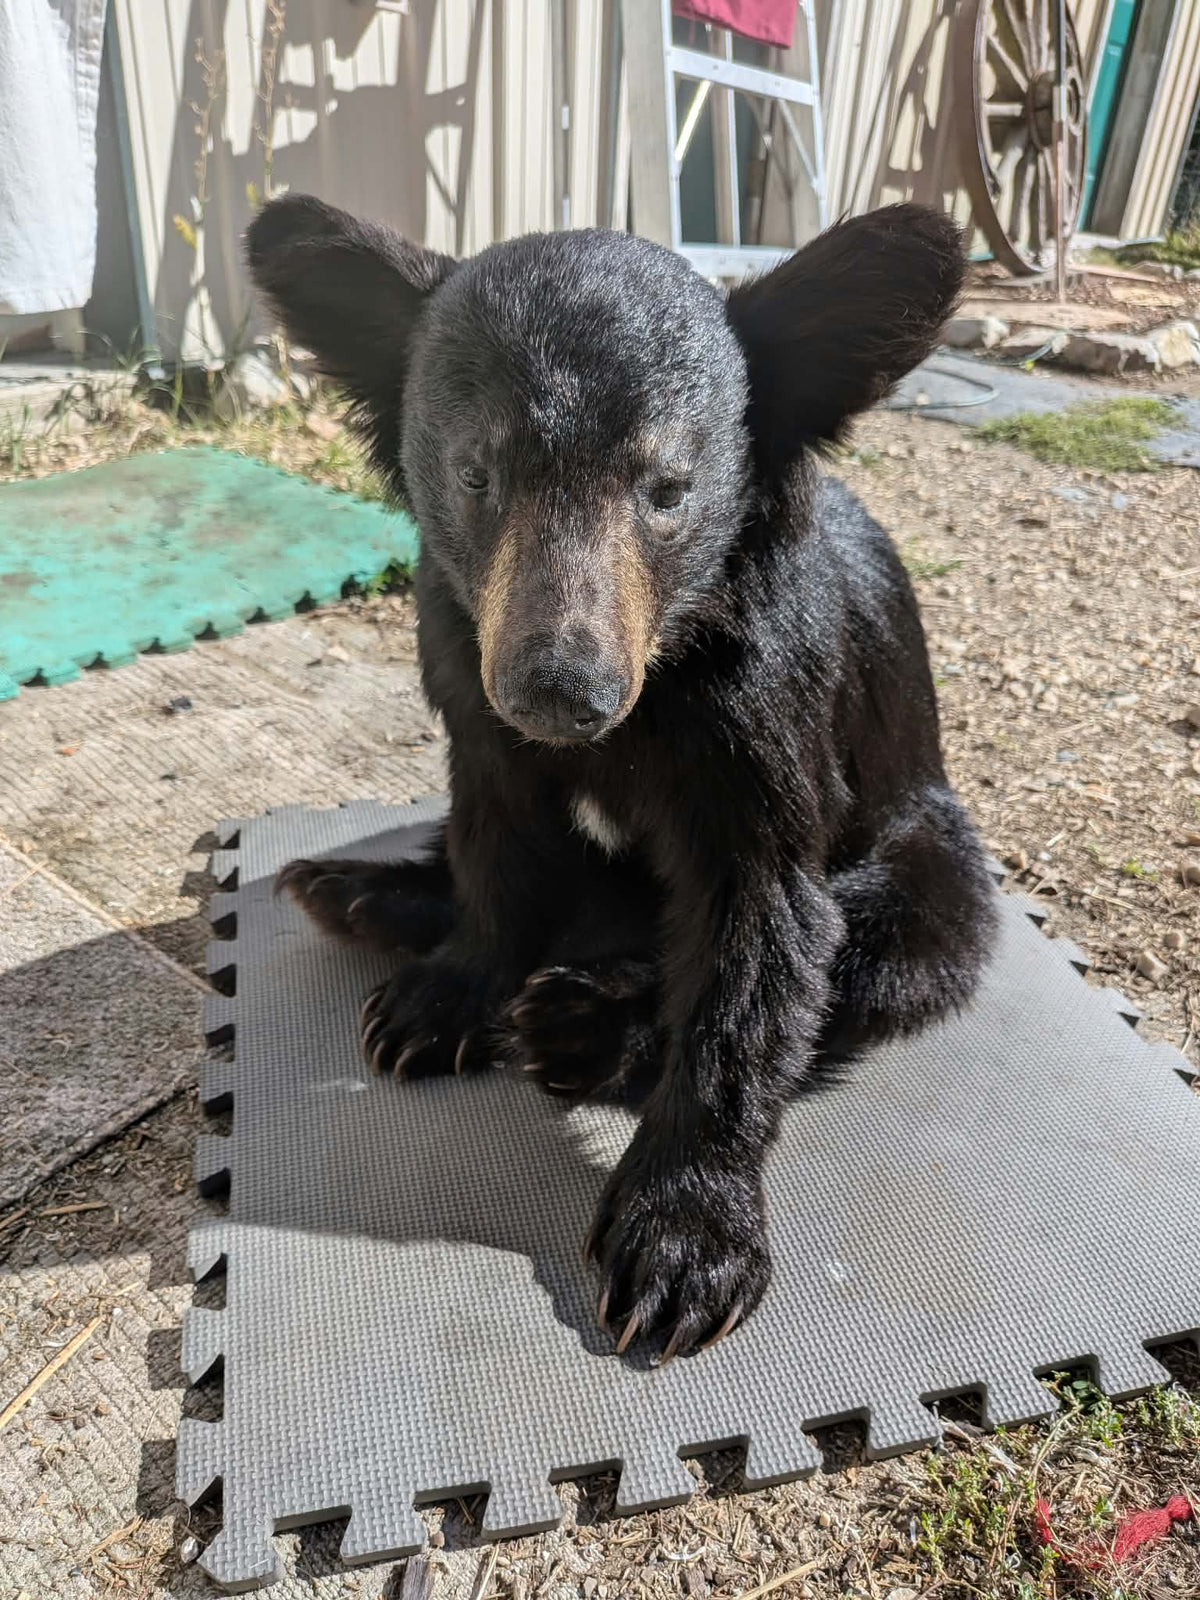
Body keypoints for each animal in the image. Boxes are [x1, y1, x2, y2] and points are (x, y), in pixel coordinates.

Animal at [246, 195, 997, 1361]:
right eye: (477, 475)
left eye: (669, 490)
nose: (562, 691)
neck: (663, 671)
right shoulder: (468, 671)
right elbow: (496, 833)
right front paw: (447, 990)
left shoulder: (763, 713)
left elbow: (760, 933)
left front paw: (685, 1240)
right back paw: (358, 890)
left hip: (933, 851)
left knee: (889, 939)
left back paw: (582, 1020)